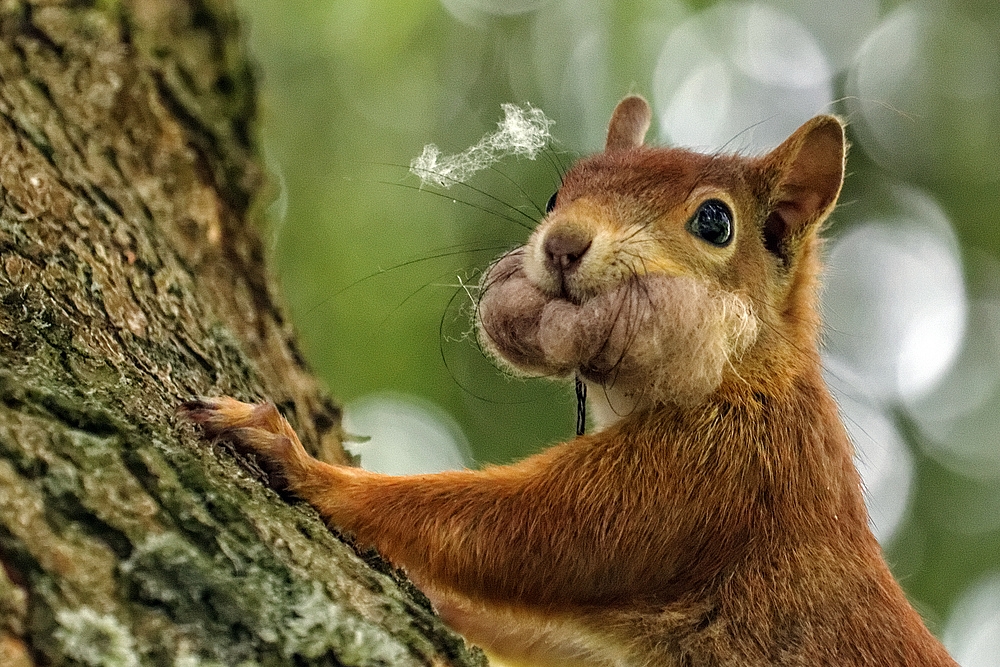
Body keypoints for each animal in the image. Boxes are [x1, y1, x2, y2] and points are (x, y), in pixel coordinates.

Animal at [184, 96, 956, 664]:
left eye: (715, 220)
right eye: (560, 192)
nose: (562, 243)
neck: (746, 377)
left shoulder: (720, 466)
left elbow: (535, 535)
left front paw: (301, 463)